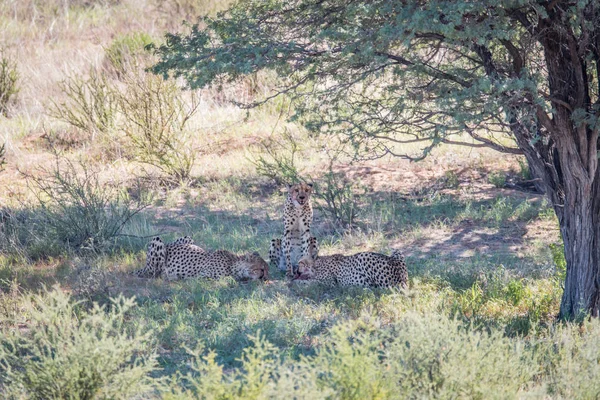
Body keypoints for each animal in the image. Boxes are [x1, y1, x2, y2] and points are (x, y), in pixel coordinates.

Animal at [136, 238, 270, 282]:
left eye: (268, 270)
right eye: (261, 269)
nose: (266, 278)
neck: (233, 263)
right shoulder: (202, 276)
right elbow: (227, 278)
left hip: (188, 239)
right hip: (157, 241)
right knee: (155, 273)